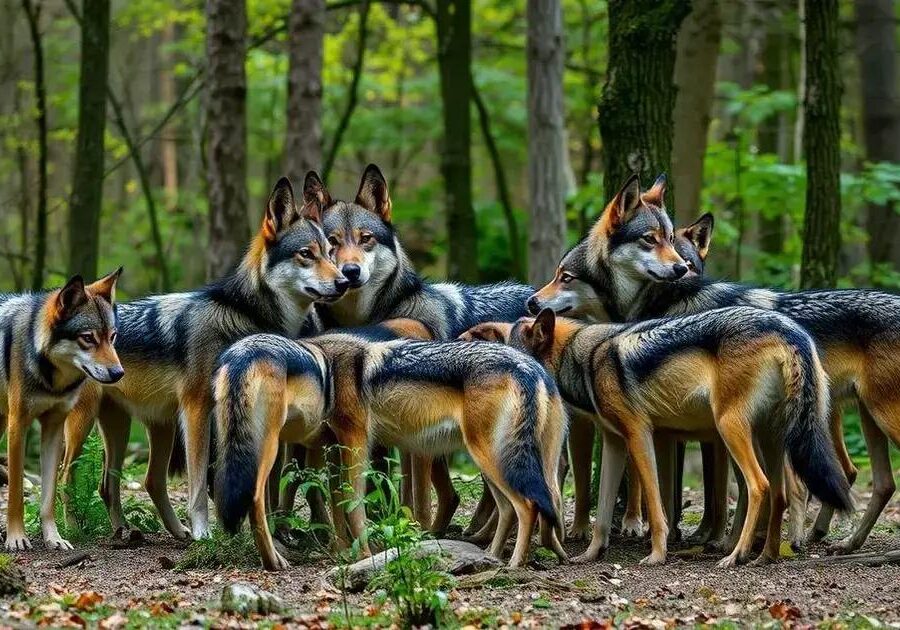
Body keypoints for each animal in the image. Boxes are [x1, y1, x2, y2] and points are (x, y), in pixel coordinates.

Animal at [0, 269, 124, 551]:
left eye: (112, 337)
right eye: (88, 338)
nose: (118, 373)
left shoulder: (54, 428)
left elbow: (48, 495)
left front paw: (54, 538)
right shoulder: (18, 426)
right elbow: (15, 493)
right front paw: (16, 538)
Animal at [60, 177, 348, 541]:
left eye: (329, 252)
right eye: (306, 254)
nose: (344, 281)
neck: (246, 317)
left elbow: (264, 484)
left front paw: (264, 531)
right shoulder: (197, 407)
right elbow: (199, 483)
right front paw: (204, 533)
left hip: (142, 426)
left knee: (130, 483)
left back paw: (138, 532)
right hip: (85, 424)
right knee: (66, 477)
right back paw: (74, 531)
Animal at [213, 319, 568, 570]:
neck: (327, 369)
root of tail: (531, 368)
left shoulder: (356, 443)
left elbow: (353, 507)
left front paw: (364, 555)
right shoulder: (336, 449)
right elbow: (339, 507)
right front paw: (345, 554)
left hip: (493, 460)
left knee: (528, 507)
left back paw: (513, 565)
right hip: (502, 464)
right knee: (523, 507)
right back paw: (493, 559)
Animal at [467, 306, 853, 567]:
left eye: (514, 352)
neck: (587, 359)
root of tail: (789, 329)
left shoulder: (640, 434)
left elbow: (655, 504)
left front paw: (656, 554)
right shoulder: (614, 443)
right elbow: (602, 512)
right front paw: (590, 555)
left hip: (731, 430)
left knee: (761, 487)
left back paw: (736, 556)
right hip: (769, 437)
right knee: (782, 494)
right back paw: (766, 557)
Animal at [528, 173, 900, 555]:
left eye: (565, 277)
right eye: (651, 239)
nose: (532, 302)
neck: (660, 302)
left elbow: (688, 489)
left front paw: (697, 539)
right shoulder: (688, 429)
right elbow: (701, 489)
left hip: (871, 418)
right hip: (859, 421)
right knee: (875, 481)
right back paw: (839, 541)